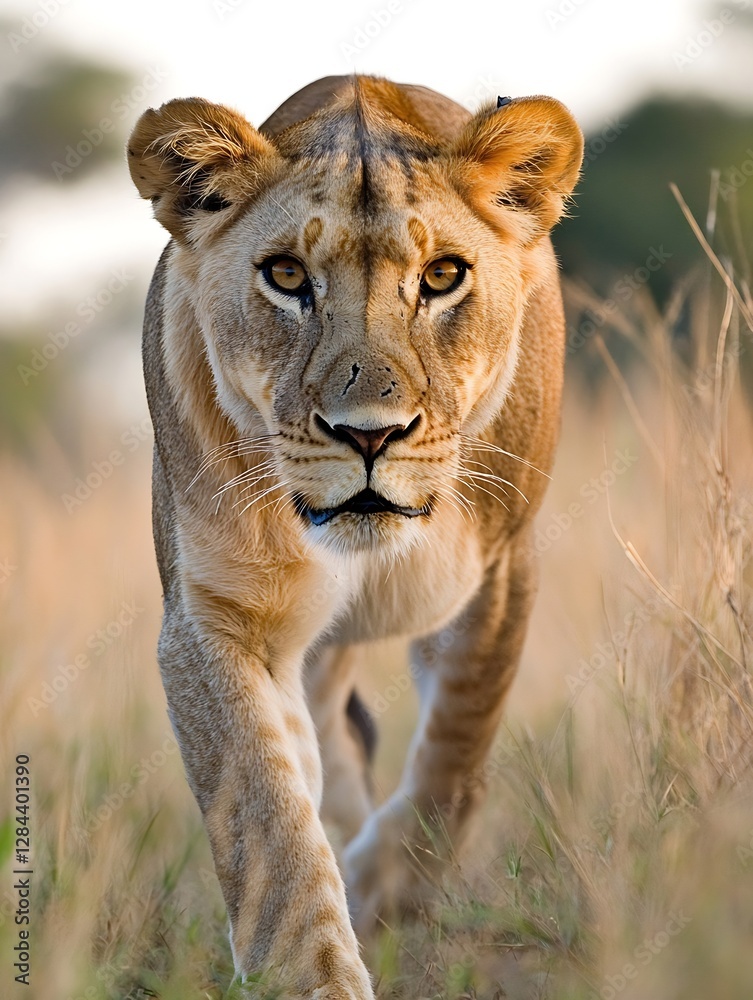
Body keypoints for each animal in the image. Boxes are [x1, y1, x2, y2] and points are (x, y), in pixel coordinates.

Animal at [128, 74, 582, 998]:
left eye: (442, 276)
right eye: (285, 275)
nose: (368, 434)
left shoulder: (499, 570)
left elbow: (456, 752)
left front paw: (380, 894)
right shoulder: (217, 617)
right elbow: (266, 817)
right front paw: (312, 971)